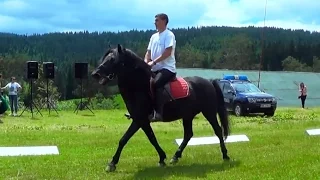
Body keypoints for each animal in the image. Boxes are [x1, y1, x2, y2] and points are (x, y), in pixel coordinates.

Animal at [91, 44, 231, 172]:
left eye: (112, 59)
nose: (95, 74)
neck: (139, 86)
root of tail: (209, 82)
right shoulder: (141, 120)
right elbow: (151, 138)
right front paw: (162, 158)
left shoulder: (139, 120)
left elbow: (124, 139)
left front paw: (112, 163)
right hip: (188, 115)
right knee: (188, 134)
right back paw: (175, 157)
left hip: (209, 112)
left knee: (218, 131)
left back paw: (225, 156)